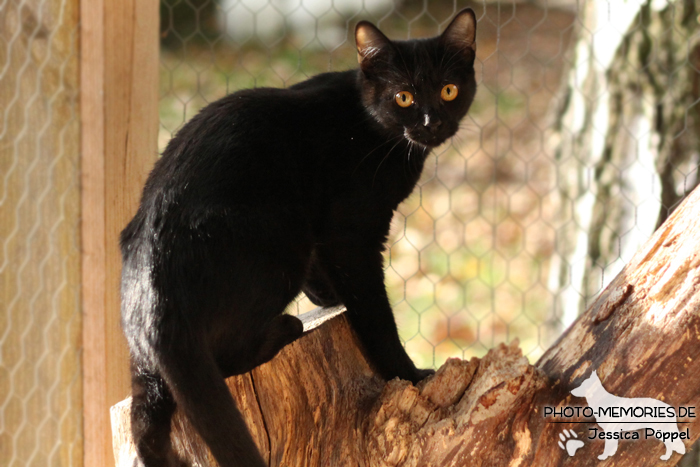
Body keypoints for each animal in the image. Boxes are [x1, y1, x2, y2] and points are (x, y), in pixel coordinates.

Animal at [123, 8, 478, 467]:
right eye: (404, 97)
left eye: (449, 90)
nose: (432, 123)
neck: (370, 128)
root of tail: (153, 300)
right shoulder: (351, 233)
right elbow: (375, 312)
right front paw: (409, 374)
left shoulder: (325, 231)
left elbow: (328, 272)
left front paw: (328, 296)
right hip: (280, 242)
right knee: (224, 356)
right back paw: (285, 327)